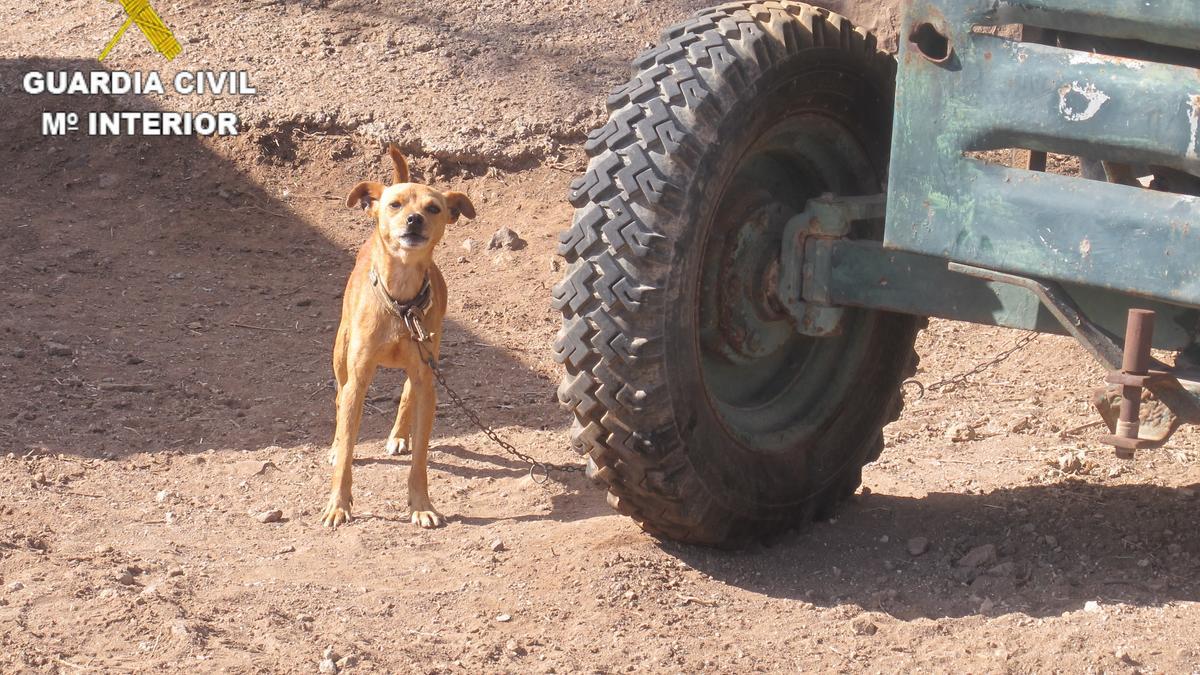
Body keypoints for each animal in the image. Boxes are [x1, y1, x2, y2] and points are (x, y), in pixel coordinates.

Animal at [324, 145, 472, 526]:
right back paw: (335, 444)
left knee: (407, 391)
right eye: (395, 205)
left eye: (433, 208)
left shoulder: (427, 379)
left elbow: (420, 459)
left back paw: (399, 435)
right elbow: (346, 451)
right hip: (341, 354)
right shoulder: (358, 381)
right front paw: (338, 504)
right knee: (338, 400)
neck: (400, 302)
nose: (414, 220)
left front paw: (421, 506)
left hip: (426, 358)